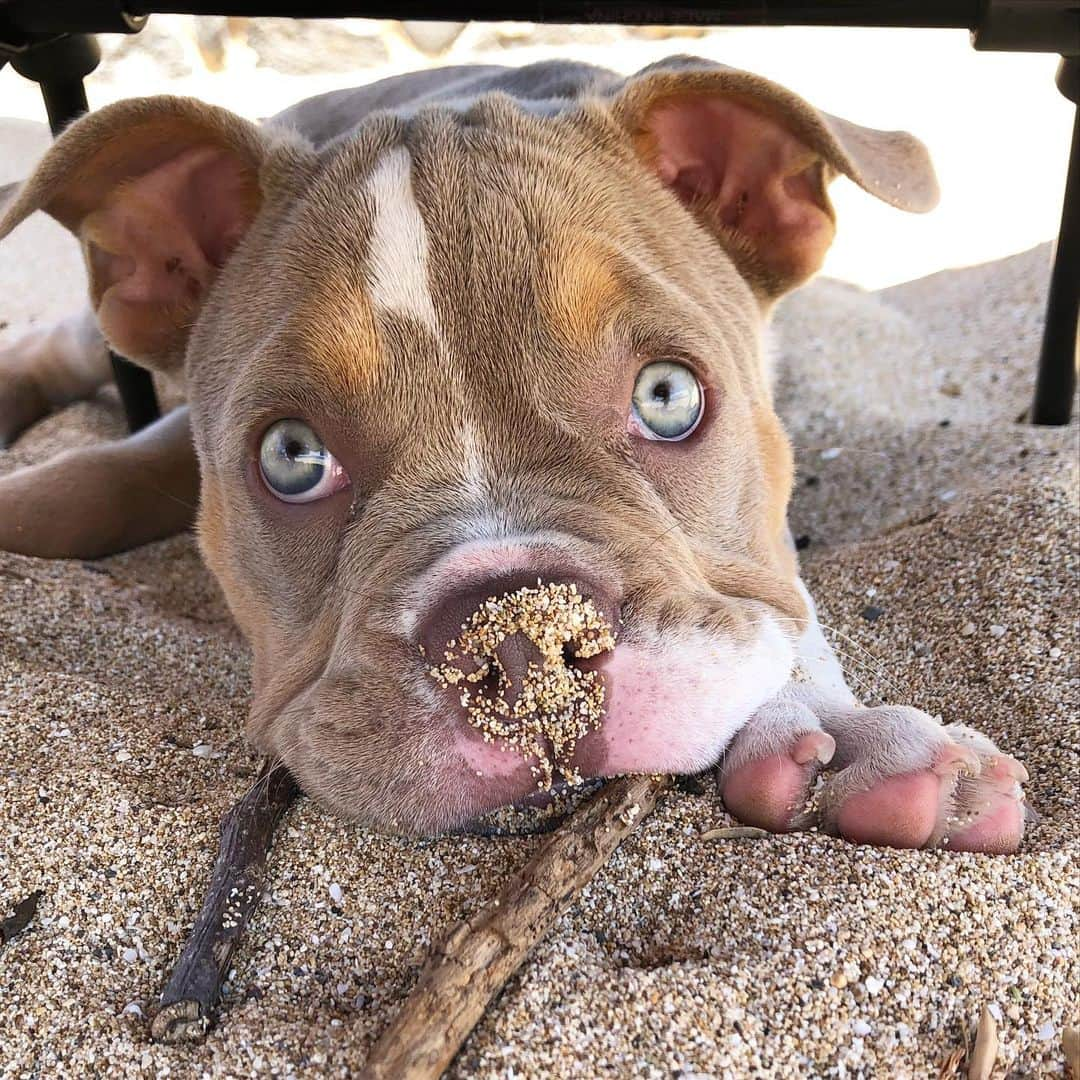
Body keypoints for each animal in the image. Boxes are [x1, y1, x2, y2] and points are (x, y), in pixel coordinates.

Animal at [0, 59, 1028, 846]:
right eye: (291, 456)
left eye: (667, 397)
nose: (521, 641)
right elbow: (93, 479)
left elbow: (778, 598)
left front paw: (828, 723)